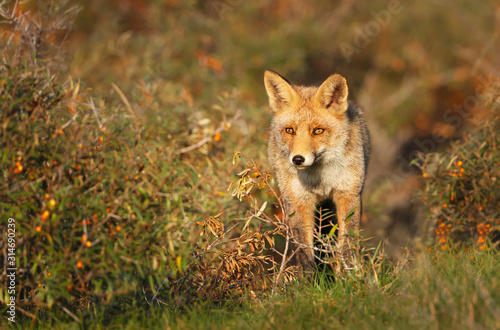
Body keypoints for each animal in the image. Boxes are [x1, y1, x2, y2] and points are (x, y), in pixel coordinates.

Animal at [264, 69, 370, 274]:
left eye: (318, 131)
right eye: (290, 130)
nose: (298, 159)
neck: (321, 178)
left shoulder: (349, 195)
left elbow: (347, 244)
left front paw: (349, 276)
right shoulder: (299, 202)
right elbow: (305, 252)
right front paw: (309, 280)